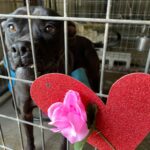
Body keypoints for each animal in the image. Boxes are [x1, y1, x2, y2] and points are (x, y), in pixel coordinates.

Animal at [0, 6, 99, 150]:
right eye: (11, 27)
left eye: (49, 28)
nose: (20, 48)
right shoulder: (25, 114)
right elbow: (29, 137)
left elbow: (64, 141)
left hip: (94, 75)